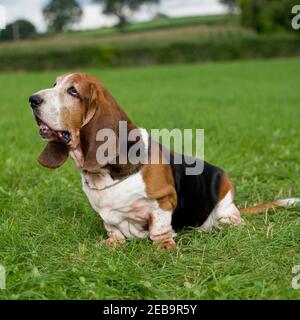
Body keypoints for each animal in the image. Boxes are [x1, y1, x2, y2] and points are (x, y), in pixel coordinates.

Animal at [29, 73, 298, 250]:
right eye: (54, 84)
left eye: (73, 91)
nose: (32, 99)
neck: (102, 175)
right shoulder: (108, 217)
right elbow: (113, 230)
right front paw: (111, 243)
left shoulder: (164, 200)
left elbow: (159, 228)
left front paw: (165, 247)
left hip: (224, 201)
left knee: (231, 220)